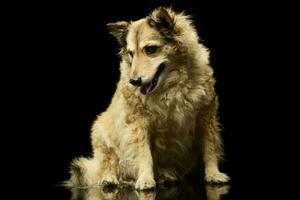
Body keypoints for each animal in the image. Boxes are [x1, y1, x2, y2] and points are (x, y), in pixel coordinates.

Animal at [66, 7, 230, 190]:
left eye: (151, 49)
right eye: (131, 53)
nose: (134, 81)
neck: (170, 86)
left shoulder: (206, 117)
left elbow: (210, 148)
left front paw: (213, 173)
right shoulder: (139, 124)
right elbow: (144, 153)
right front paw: (145, 179)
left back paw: (166, 175)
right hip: (101, 134)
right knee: (108, 162)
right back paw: (109, 178)